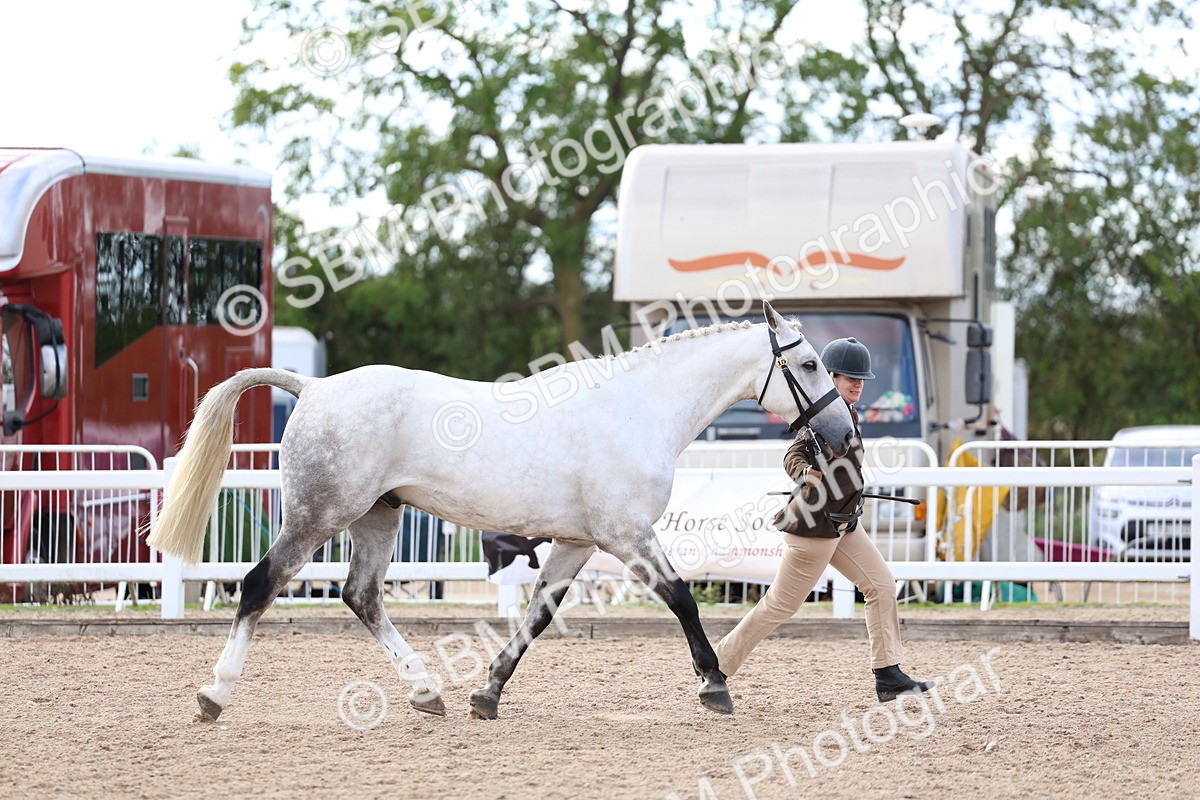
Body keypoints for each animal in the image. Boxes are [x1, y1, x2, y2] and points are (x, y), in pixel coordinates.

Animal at [148, 302, 856, 721]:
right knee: (258, 585)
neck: (639, 408)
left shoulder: (577, 542)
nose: (844, 434)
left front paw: (486, 693)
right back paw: (214, 695)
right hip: (318, 516)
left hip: (377, 516)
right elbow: (682, 597)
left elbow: (537, 616)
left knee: (362, 596)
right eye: (808, 363)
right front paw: (714, 684)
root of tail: (314, 388)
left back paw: (426, 691)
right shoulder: (626, 534)